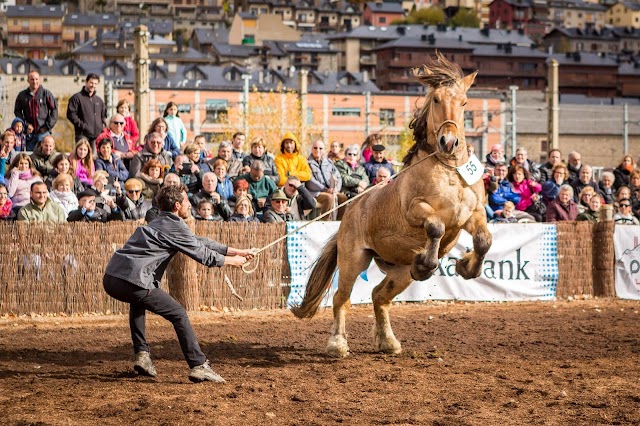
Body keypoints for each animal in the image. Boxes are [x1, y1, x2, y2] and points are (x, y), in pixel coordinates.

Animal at [292, 54, 492, 360]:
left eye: (465, 103)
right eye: (436, 99)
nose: (449, 141)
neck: (448, 171)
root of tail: (350, 213)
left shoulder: (472, 214)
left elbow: (483, 240)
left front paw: (466, 265)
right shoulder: (416, 210)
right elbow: (435, 226)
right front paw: (426, 264)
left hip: (398, 272)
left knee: (379, 296)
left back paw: (388, 341)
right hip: (353, 260)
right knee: (341, 298)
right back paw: (337, 344)